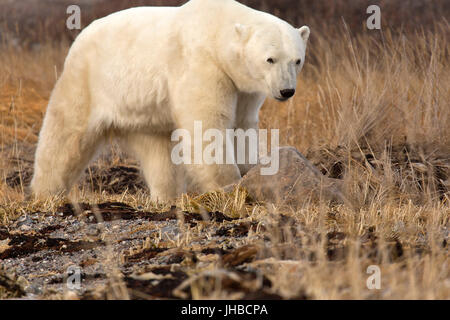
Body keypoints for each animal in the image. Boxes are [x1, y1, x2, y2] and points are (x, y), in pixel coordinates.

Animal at [30, 0, 310, 200]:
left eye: (297, 60)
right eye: (270, 59)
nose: (286, 91)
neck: (217, 31)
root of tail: (80, 36)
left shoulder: (243, 87)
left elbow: (242, 124)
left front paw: (250, 169)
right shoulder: (203, 65)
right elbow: (208, 124)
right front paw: (228, 184)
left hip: (145, 113)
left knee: (159, 152)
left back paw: (167, 196)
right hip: (88, 80)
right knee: (66, 134)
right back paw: (45, 192)